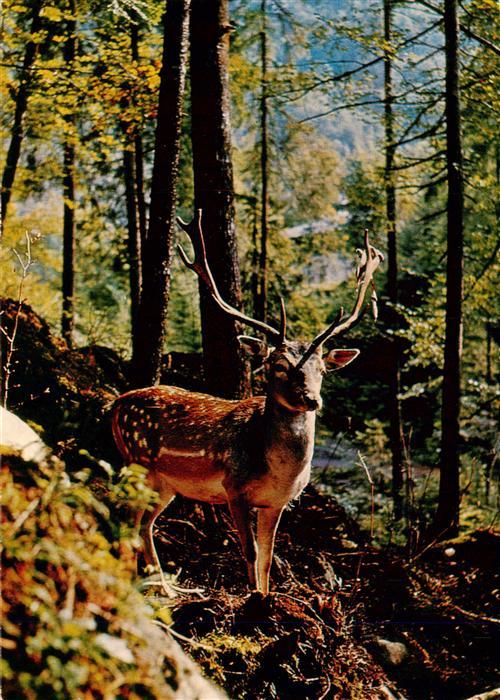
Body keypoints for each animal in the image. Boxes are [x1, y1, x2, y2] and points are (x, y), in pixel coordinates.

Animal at [112, 210, 383, 596]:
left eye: (321, 369)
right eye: (279, 365)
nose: (312, 399)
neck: (279, 471)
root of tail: (116, 404)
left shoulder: (278, 502)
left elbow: (268, 558)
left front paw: (267, 596)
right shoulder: (234, 488)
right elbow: (250, 551)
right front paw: (254, 598)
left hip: (165, 484)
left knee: (144, 523)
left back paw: (169, 588)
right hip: (137, 463)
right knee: (125, 518)